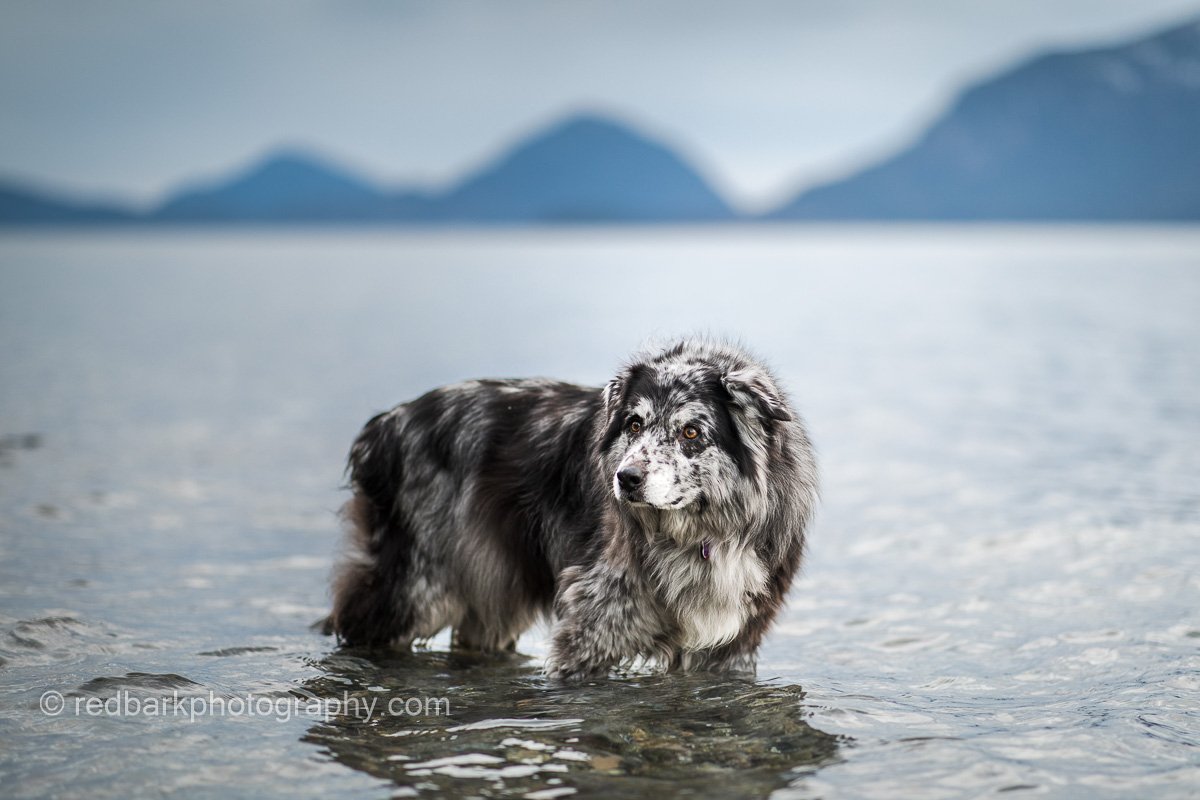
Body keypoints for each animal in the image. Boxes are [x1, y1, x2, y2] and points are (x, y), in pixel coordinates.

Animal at [326, 340, 816, 681]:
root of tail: (385, 424)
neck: (699, 534)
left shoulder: (732, 647)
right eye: (634, 424)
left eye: (691, 432)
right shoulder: (592, 628)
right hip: (415, 589)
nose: (626, 478)